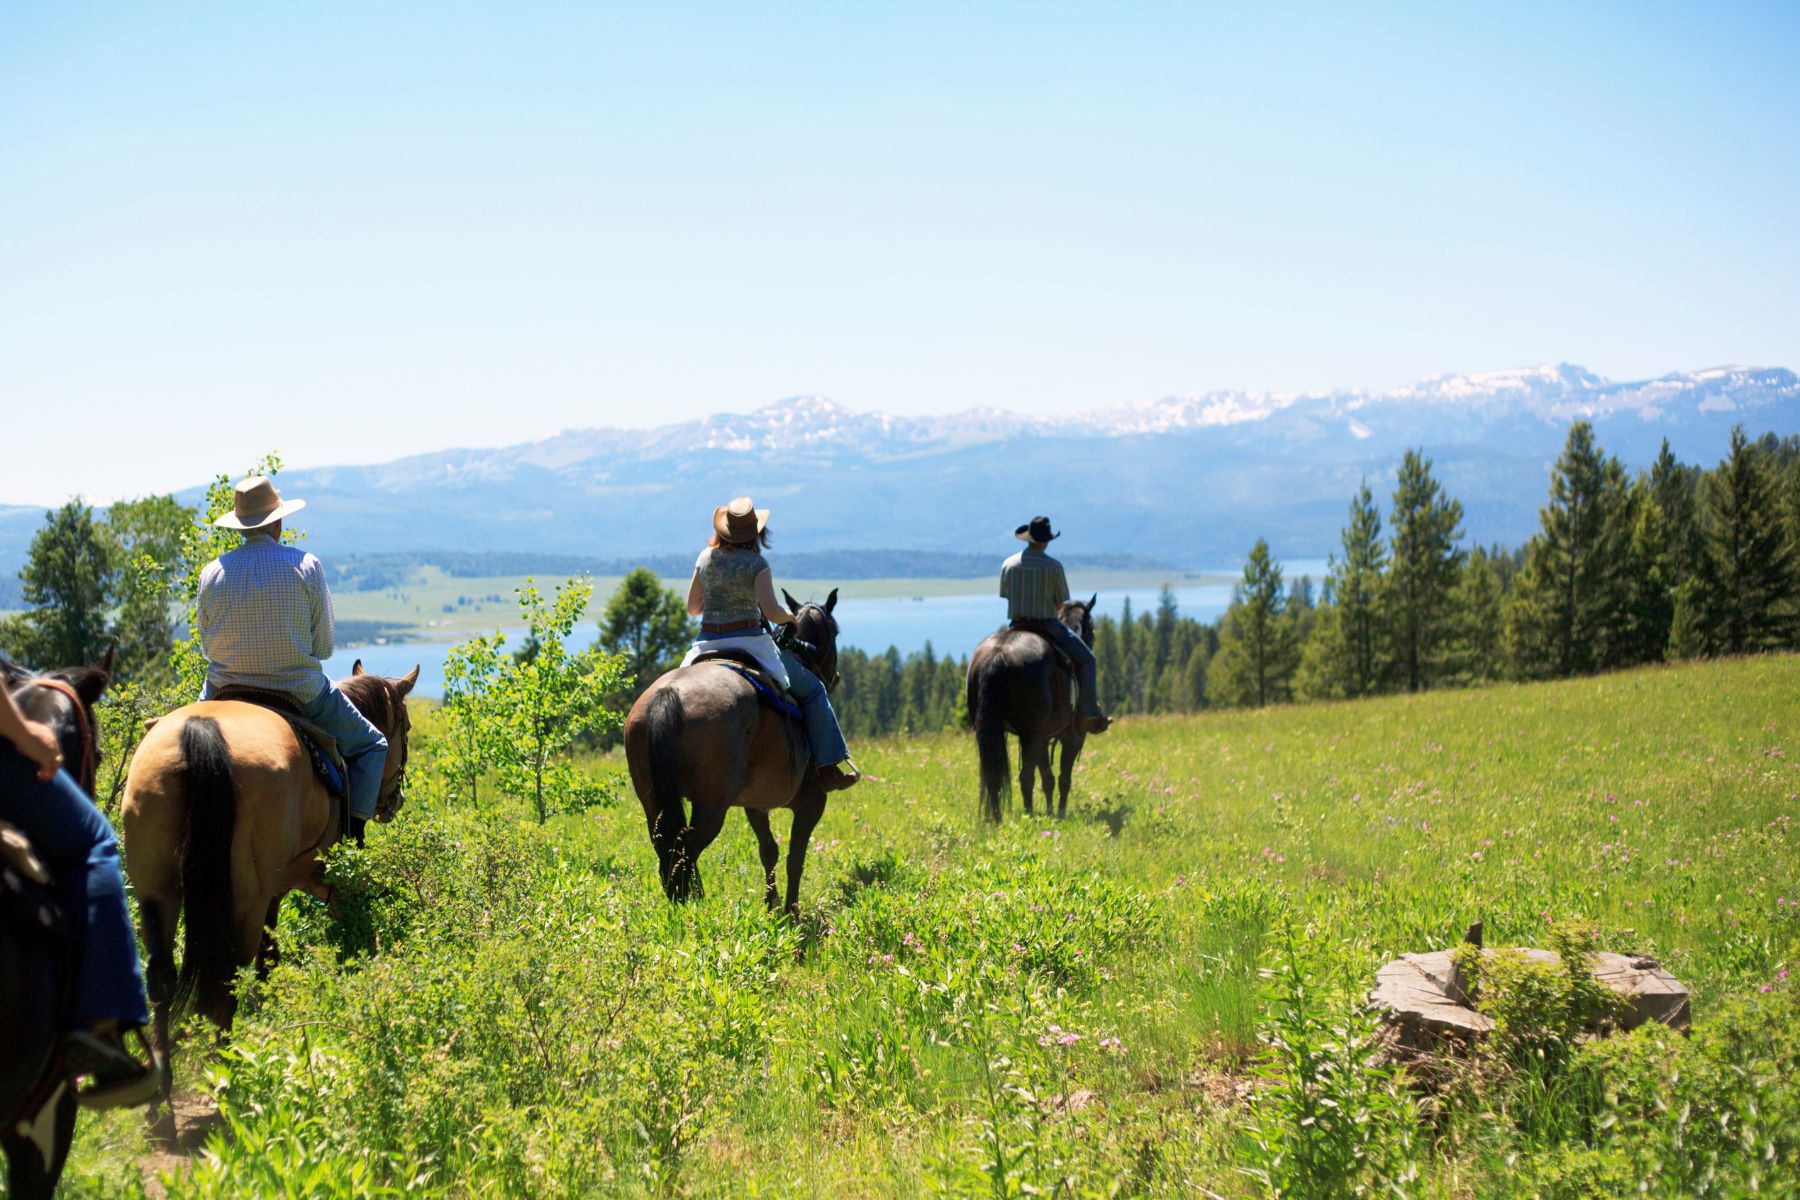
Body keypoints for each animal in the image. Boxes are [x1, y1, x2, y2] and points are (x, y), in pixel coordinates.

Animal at [622, 590, 838, 910]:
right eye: (835, 632)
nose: (834, 678)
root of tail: (668, 694)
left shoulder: (755, 803)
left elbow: (769, 850)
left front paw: (771, 905)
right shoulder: (812, 802)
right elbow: (795, 858)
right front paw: (791, 913)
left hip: (653, 801)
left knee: (667, 850)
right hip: (711, 806)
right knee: (684, 853)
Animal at [972, 597, 1094, 820]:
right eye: (1093, 628)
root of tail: (997, 655)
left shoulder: (1042, 737)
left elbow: (1047, 776)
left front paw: (1051, 811)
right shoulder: (1072, 736)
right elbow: (1063, 777)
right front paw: (1060, 812)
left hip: (994, 732)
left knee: (995, 774)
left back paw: (997, 818)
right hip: (1031, 733)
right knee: (1026, 776)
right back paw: (1028, 815)